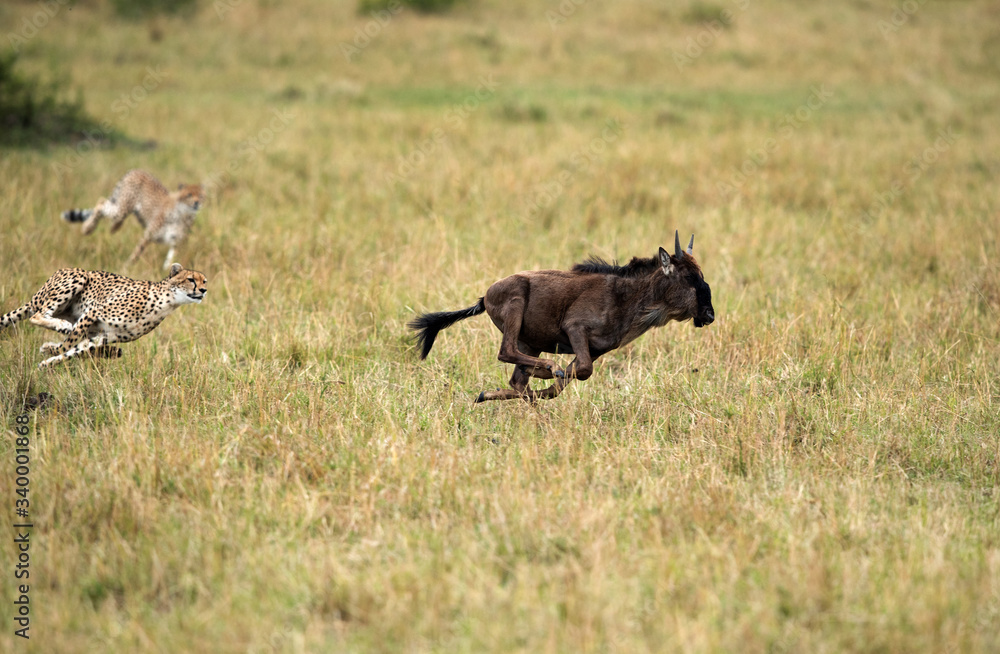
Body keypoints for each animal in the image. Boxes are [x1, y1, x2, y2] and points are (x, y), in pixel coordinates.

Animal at [0, 263, 207, 369]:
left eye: (204, 281)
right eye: (190, 279)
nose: (204, 290)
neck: (167, 302)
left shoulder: (104, 336)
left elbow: (74, 350)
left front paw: (48, 359)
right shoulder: (94, 312)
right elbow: (68, 344)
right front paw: (50, 351)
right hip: (78, 277)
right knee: (37, 316)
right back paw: (62, 325)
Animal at [62, 169, 205, 270]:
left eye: (201, 196)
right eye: (189, 195)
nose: (197, 203)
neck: (183, 215)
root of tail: (137, 171)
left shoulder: (177, 243)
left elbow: (171, 259)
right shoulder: (148, 235)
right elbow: (136, 253)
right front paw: (126, 267)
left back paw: (114, 227)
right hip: (122, 208)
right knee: (101, 203)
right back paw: (87, 228)